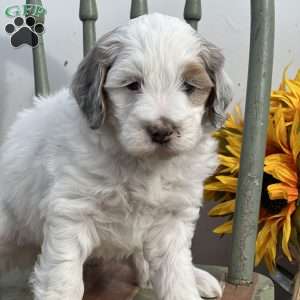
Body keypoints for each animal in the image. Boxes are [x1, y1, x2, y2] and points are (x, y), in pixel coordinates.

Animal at [0, 13, 232, 300]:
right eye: (132, 85)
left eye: (189, 86)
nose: (161, 131)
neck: (144, 164)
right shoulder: (71, 212)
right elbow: (64, 278)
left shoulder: (172, 219)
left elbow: (176, 273)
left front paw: (187, 285)